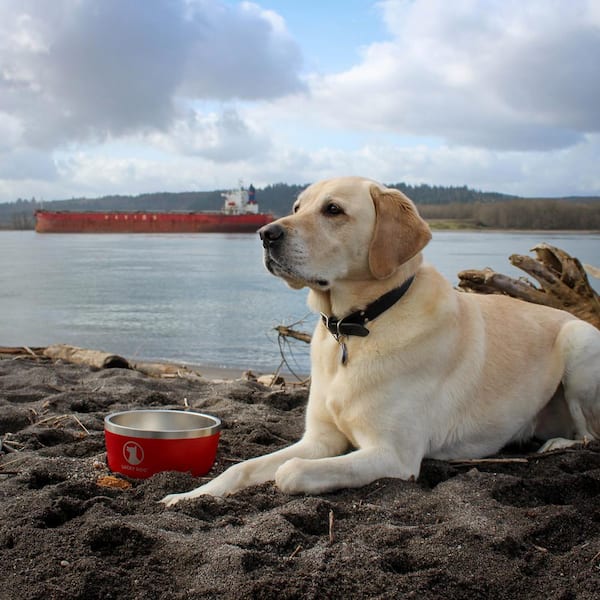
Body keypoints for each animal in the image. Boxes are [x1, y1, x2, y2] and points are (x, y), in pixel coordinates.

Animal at [162, 177, 596, 506]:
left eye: (333, 210)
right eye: (298, 205)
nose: (265, 233)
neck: (353, 328)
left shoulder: (393, 454)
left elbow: (290, 472)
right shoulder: (319, 438)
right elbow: (243, 466)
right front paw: (189, 495)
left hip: (580, 343)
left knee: (589, 434)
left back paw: (556, 444)